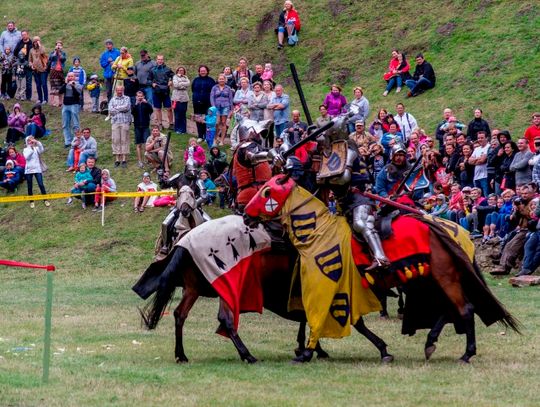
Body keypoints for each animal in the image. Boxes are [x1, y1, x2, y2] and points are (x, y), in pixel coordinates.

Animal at [131, 215, 392, 364]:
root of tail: (184, 243)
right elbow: (353, 321)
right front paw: (381, 348)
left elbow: (306, 319)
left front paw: (308, 348)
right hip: (224, 284)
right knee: (225, 319)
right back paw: (247, 355)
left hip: (194, 288)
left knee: (180, 315)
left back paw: (181, 355)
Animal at [246, 175, 524, 364]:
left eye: (267, 191)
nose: (246, 215)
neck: (317, 232)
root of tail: (448, 229)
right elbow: (350, 322)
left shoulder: (332, 288)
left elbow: (338, 320)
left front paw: (306, 352)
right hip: (431, 279)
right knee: (451, 308)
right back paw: (431, 342)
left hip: (444, 276)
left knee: (464, 309)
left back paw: (466, 353)